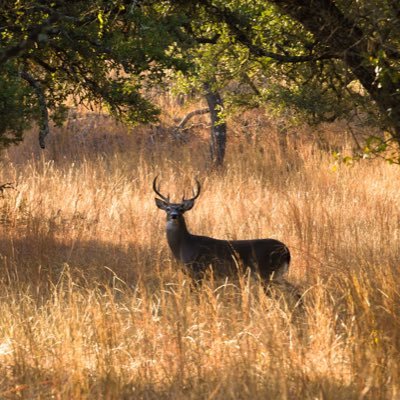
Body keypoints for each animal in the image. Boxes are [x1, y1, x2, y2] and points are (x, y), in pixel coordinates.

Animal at [153, 177, 290, 282]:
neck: (183, 247)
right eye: (168, 209)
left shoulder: (197, 270)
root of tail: (286, 250)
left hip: (265, 271)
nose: (174, 215)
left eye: (181, 209)